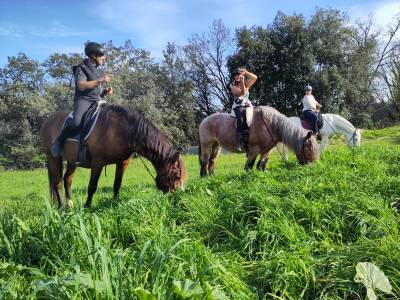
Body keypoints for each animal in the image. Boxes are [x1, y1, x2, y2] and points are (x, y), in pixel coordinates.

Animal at [39, 103, 187, 209]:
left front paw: (115, 203)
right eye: (176, 175)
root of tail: (47, 121)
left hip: (72, 161)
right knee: (56, 182)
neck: (122, 130)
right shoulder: (97, 162)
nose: (178, 196)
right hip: (53, 158)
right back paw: (61, 207)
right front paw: (87, 206)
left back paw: (70, 205)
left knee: (67, 180)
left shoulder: (122, 162)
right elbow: (92, 186)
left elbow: (117, 184)